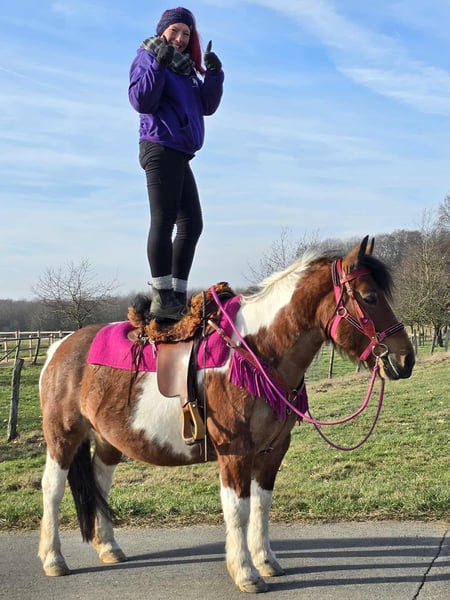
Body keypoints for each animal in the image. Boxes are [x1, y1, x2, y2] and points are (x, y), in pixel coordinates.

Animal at [38, 236, 415, 593]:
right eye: (369, 297)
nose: (405, 360)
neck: (256, 351)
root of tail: (59, 347)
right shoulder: (234, 451)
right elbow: (238, 510)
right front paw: (246, 573)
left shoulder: (272, 451)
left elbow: (262, 505)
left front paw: (266, 561)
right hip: (63, 435)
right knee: (52, 489)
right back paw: (53, 558)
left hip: (107, 441)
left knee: (101, 483)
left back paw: (109, 547)